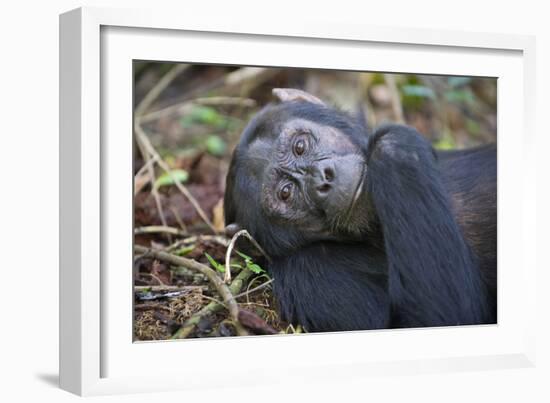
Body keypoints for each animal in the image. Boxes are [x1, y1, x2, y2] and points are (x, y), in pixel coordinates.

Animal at [222, 87, 498, 332]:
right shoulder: (308, 272)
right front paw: (392, 144)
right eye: (286, 193)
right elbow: (438, 316)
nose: (322, 178)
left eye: (299, 146)